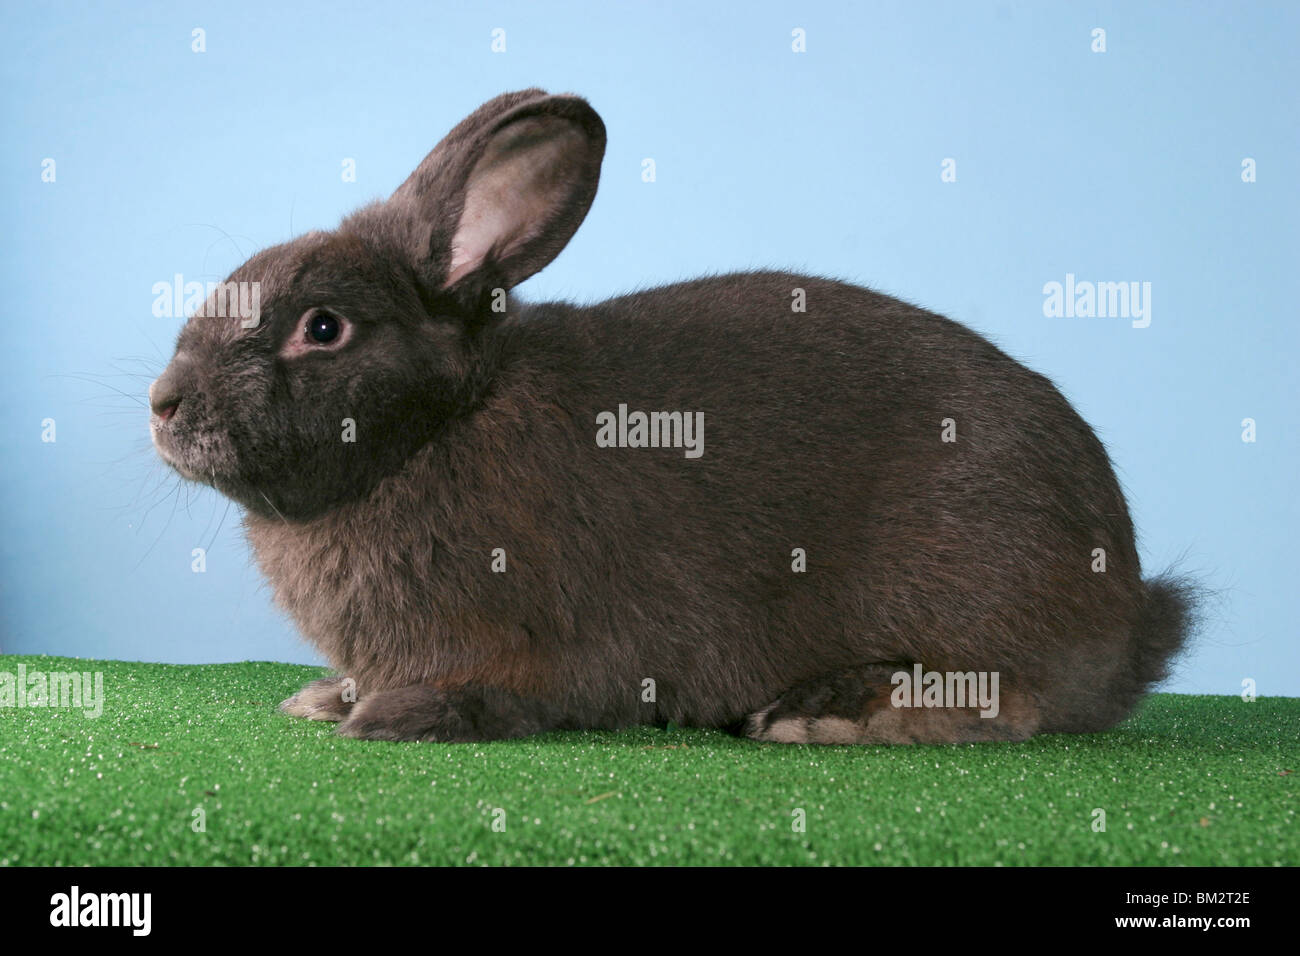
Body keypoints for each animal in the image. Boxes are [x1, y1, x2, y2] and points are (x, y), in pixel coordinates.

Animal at [149, 88, 1195, 745]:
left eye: (323, 328)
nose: (164, 407)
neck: (441, 425)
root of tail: (1129, 609)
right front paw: (325, 699)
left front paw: (388, 719)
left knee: (1005, 701)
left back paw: (822, 713)